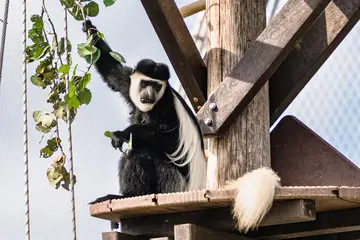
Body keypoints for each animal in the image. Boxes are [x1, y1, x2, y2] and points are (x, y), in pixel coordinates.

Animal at [83, 19, 282, 233]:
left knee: (141, 153)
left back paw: (128, 195)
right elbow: (112, 71)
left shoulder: (166, 107)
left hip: (171, 183)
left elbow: (169, 139)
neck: (153, 104)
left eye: (157, 86)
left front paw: (123, 133)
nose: (149, 95)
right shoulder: (129, 83)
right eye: (145, 83)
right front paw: (89, 29)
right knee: (128, 155)